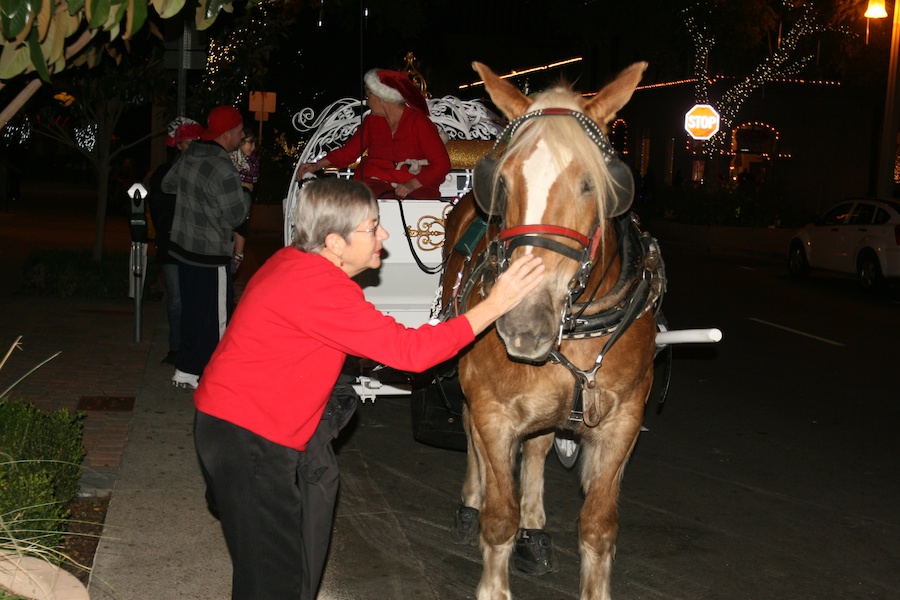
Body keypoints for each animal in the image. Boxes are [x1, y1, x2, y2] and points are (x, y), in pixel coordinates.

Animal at [440, 62, 664, 600]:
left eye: (592, 184)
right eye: (502, 182)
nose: (524, 324)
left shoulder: (623, 419)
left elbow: (598, 527)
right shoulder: (493, 409)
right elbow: (499, 516)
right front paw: (493, 582)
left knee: (539, 447)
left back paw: (535, 527)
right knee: (473, 435)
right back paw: (471, 500)